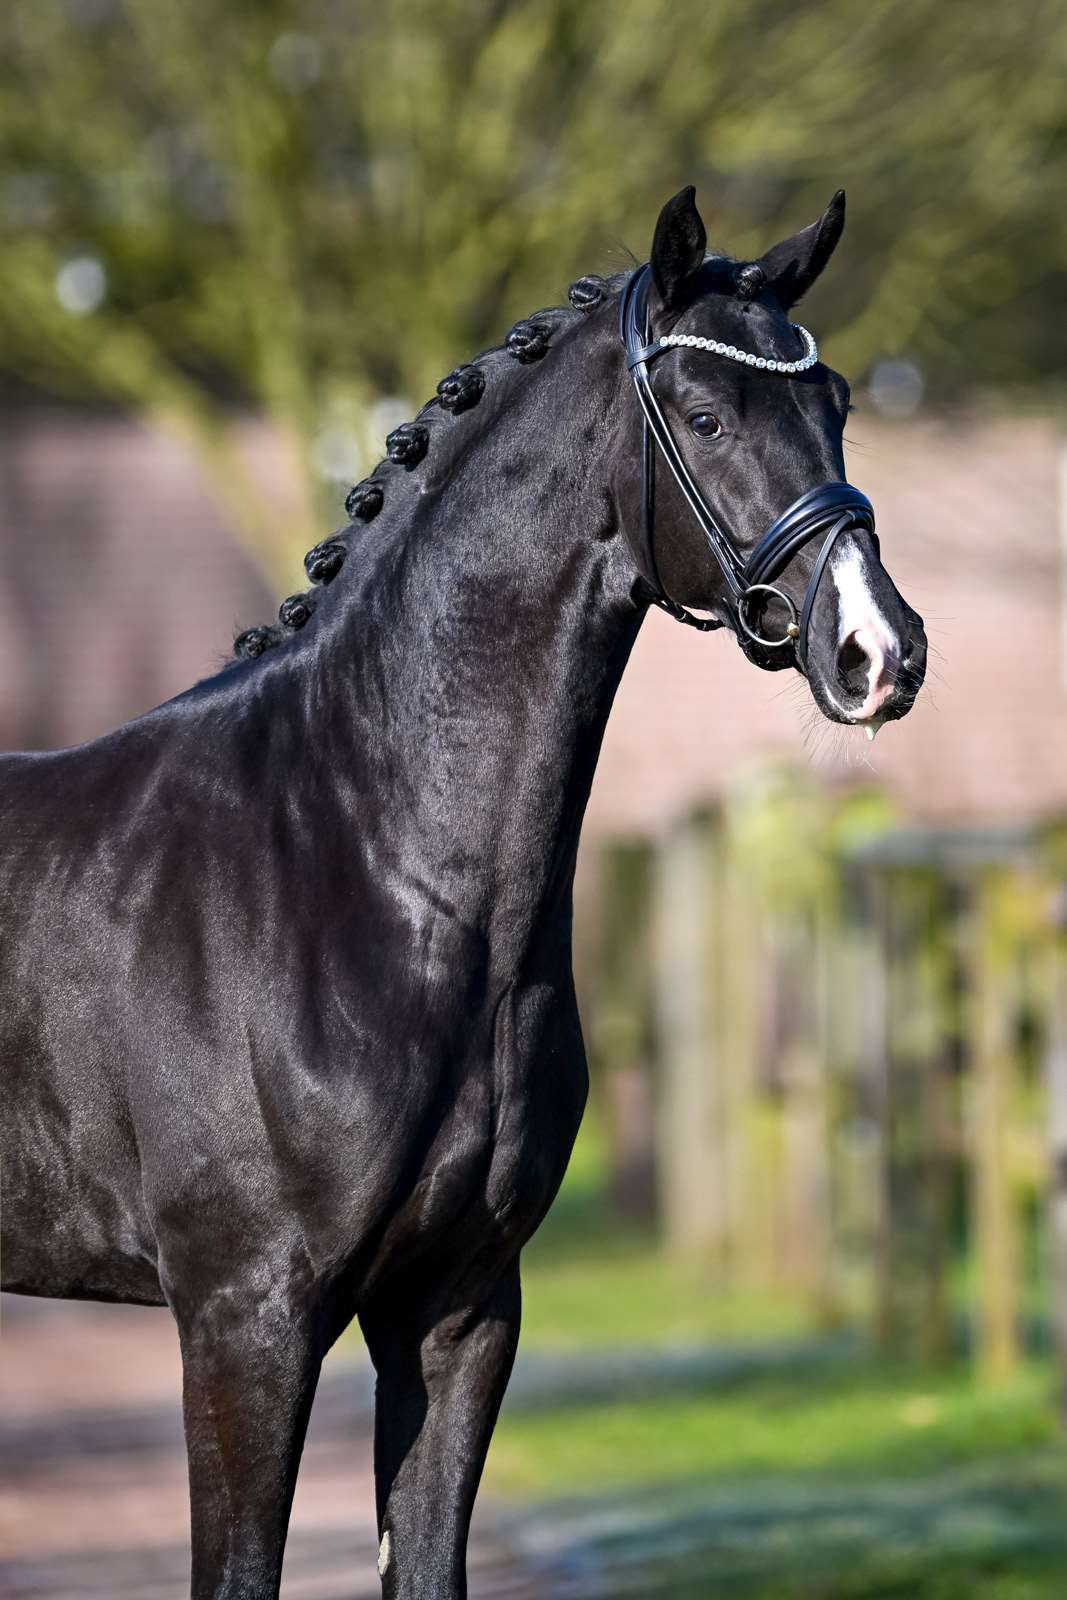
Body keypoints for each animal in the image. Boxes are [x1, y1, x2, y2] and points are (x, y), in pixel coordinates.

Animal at [0, 186, 927, 1598]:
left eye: (833, 403)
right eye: (705, 416)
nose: (882, 651)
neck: (358, 867)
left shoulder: (458, 1305)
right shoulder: (244, 1319)